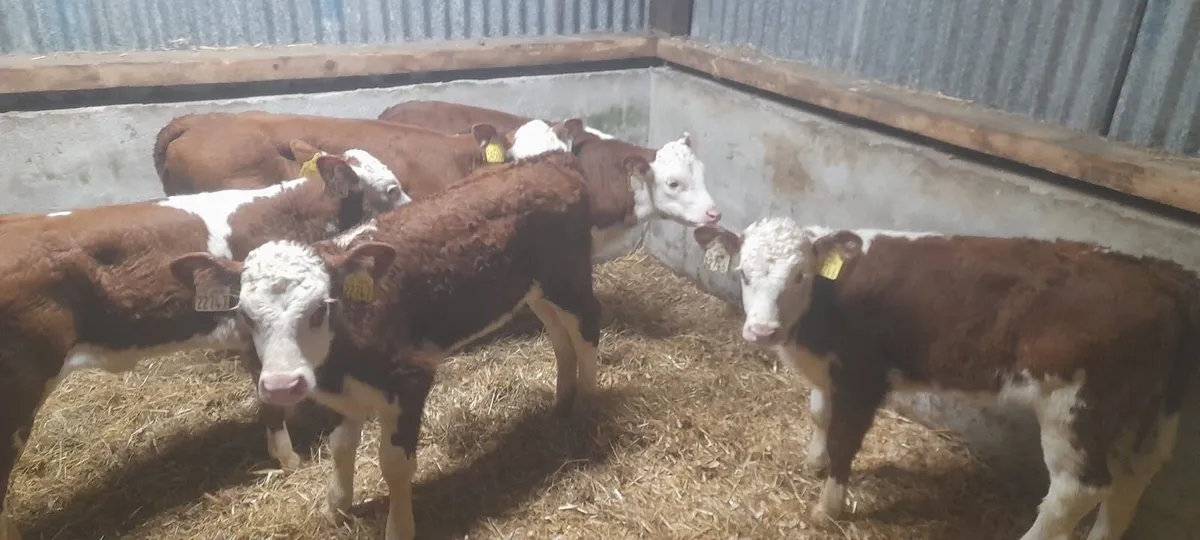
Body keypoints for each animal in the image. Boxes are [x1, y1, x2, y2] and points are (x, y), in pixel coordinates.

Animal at [0, 149, 407, 540]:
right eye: (392, 189)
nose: (414, 205)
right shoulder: (252, 332)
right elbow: (271, 406)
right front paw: (287, 459)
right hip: (18, 392)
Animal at [170, 147, 601, 540]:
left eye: (319, 309)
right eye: (245, 314)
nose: (282, 386)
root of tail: (550, 159)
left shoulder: (410, 377)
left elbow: (394, 463)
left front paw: (398, 527)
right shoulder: (346, 391)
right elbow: (341, 445)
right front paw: (337, 505)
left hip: (570, 278)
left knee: (587, 332)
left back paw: (585, 405)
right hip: (537, 289)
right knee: (560, 337)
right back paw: (562, 402)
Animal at [692, 218, 1199, 540]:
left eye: (799, 275)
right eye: (743, 272)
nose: (763, 331)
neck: (823, 306)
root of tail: (1155, 273)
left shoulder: (863, 376)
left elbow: (844, 441)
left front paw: (826, 508)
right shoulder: (829, 369)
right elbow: (819, 414)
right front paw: (813, 462)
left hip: (1074, 407)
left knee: (1076, 491)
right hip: (1144, 410)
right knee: (1133, 478)